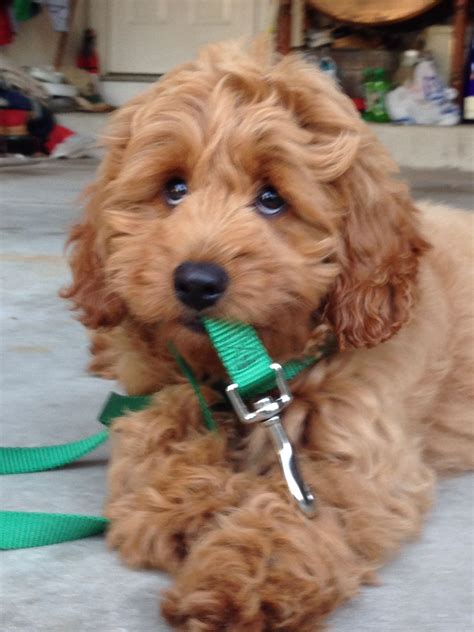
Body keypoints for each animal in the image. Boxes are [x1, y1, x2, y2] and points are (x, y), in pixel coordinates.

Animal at [63, 42, 474, 628]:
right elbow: (156, 435)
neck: (249, 372)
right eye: (174, 189)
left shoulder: (359, 460)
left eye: (272, 199)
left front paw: (238, 578)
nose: (196, 282)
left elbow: (291, 511)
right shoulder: (147, 397)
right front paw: (186, 501)